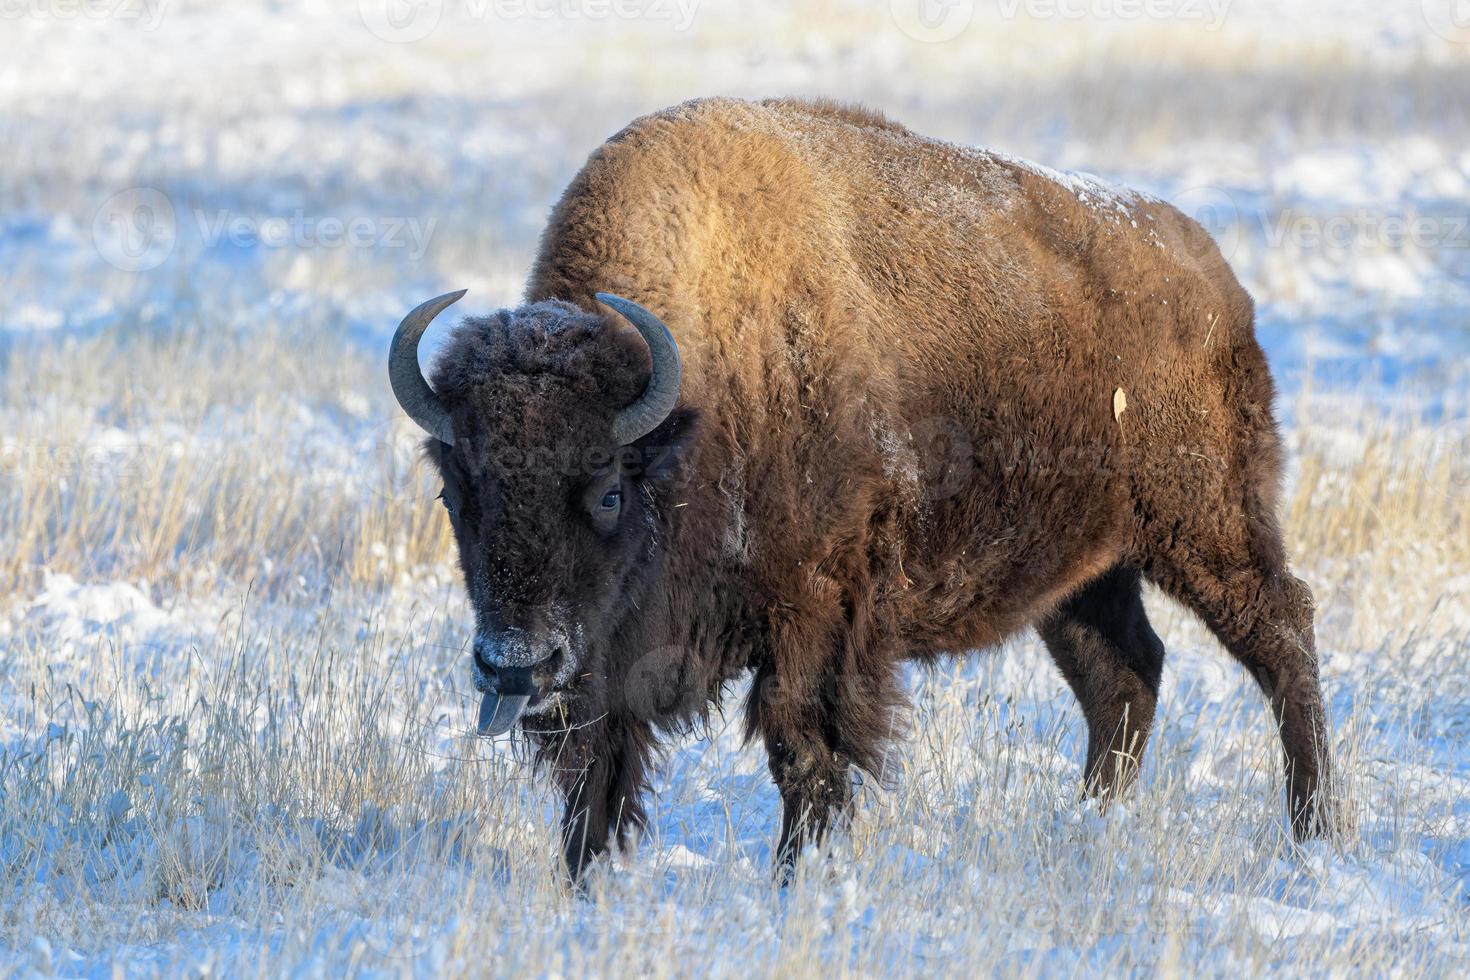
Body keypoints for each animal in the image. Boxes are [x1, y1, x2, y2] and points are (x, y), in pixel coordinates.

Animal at [385, 97, 1340, 881]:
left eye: (609, 493)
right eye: (458, 495)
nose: (516, 664)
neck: (697, 400)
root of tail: (1215, 279)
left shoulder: (819, 615)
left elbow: (805, 751)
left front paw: (797, 879)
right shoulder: (607, 664)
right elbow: (598, 771)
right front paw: (582, 885)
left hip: (1205, 526)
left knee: (1283, 634)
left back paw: (1317, 832)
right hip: (1081, 577)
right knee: (1125, 676)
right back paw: (1090, 825)